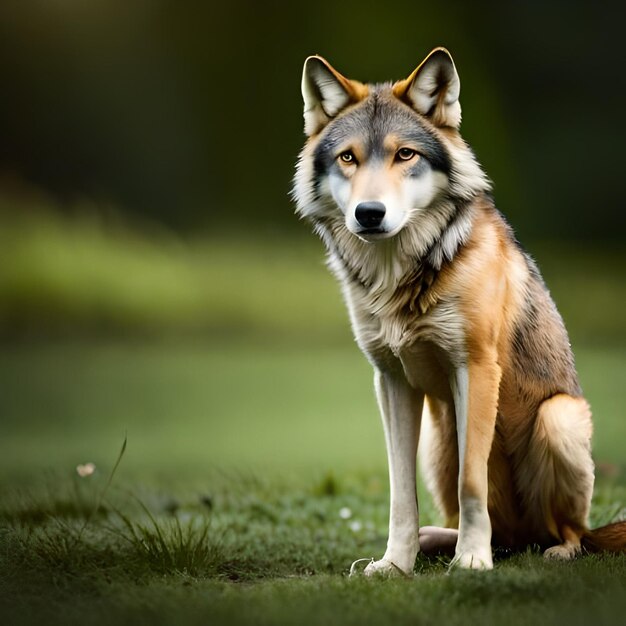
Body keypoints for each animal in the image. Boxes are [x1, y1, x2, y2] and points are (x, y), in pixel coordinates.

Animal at [292, 47, 624, 576]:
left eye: (405, 154)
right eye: (349, 158)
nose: (369, 213)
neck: (399, 279)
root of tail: (522, 538)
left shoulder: (476, 368)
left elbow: (473, 482)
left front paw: (471, 561)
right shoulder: (390, 380)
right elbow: (399, 493)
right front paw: (395, 564)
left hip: (560, 418)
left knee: (572, 531)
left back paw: (549, 550)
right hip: (436, 437)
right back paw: (440, 542)